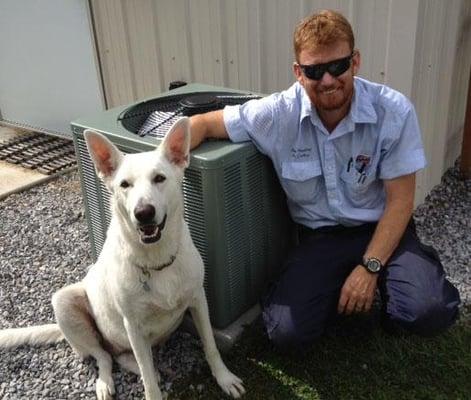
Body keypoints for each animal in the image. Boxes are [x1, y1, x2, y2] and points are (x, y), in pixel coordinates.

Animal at [0, 117, 243, 398]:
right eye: (124, 185)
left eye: (159, 178)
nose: (143, 212)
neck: (156, 259)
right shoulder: (133, 325)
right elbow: (147, 379)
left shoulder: (198, 300)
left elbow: (210, 345)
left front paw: (225, 378)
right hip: (65, 302)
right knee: (105, 357)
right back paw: (105, 383)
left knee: (124, 358)